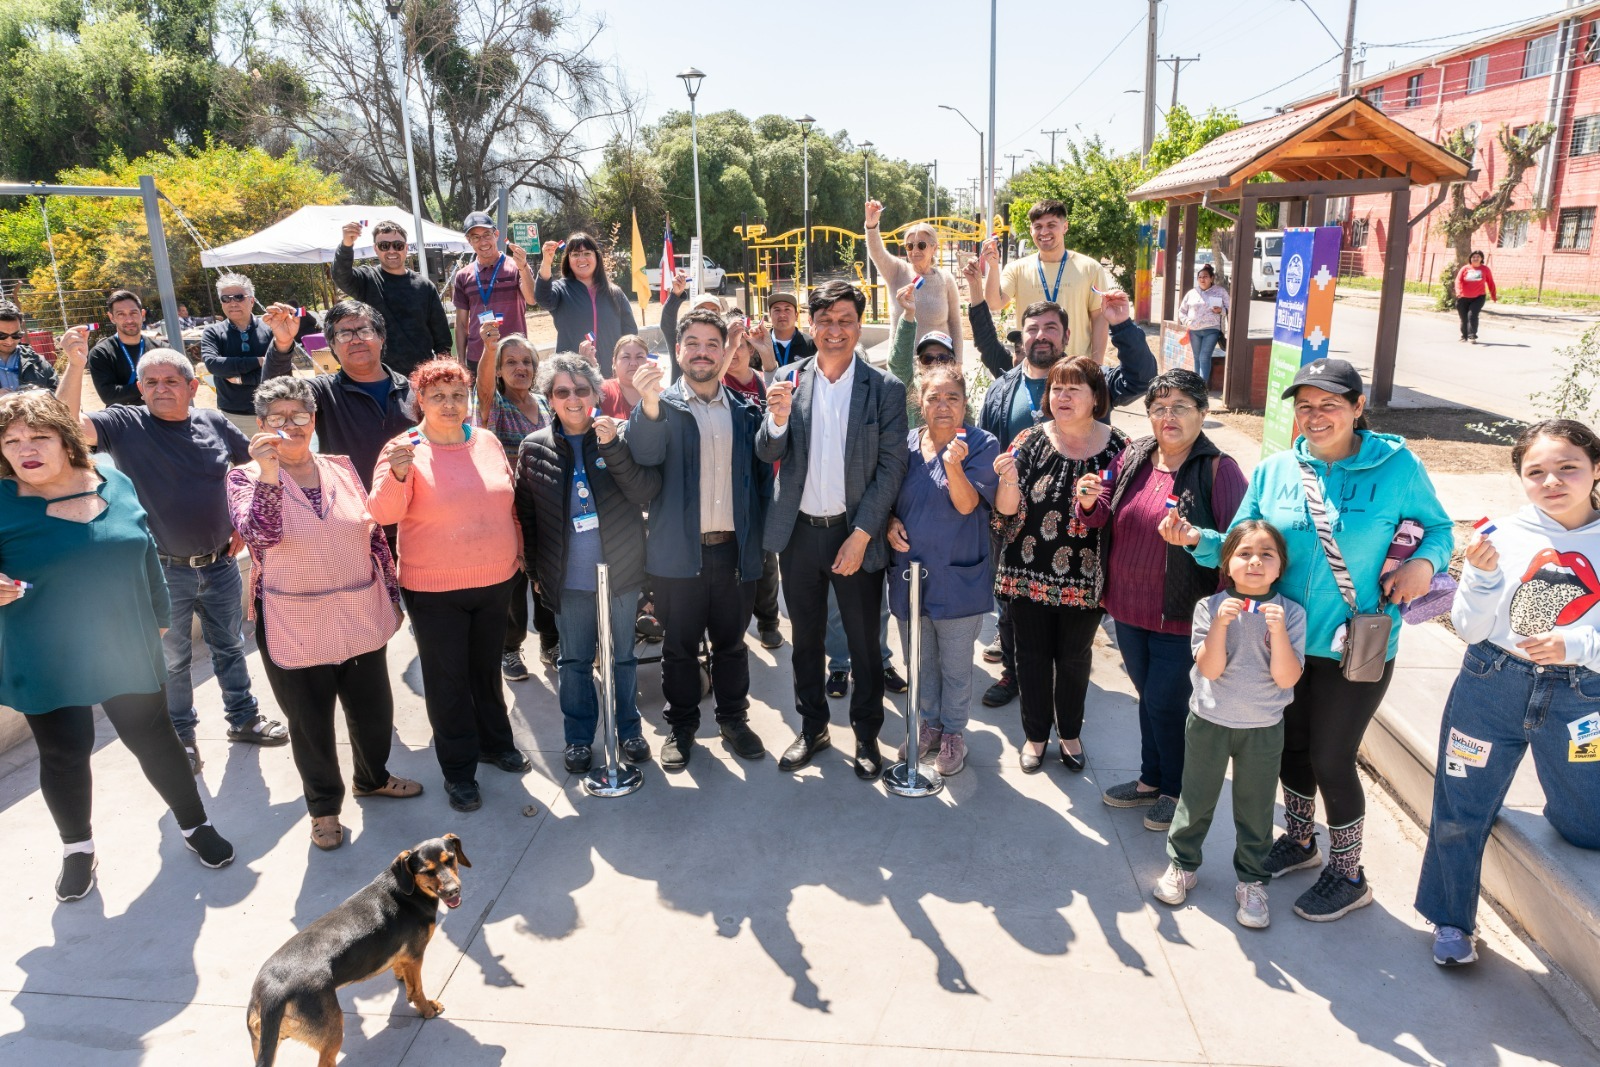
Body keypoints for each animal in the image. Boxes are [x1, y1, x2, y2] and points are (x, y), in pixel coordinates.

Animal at [243, 831, 467, 1067]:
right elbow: (417, 990)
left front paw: (399, 977)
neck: (409, 890)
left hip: (261, 1043)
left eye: (450, 860)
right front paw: (427, 1009)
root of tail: (272, 992)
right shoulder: (415, 956)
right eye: (427, 872)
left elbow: (399, 970)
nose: (453, 891)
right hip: (333, 1030)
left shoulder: (403, 956)